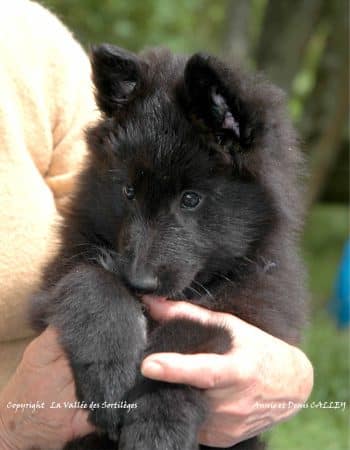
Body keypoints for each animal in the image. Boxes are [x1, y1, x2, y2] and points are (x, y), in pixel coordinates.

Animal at [30, 43, 306, 450]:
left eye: (190, 199)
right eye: (128, 191)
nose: (139, 282)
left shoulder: (257, 316)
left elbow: (190, 332)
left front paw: (157, 427)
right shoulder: (57, 276)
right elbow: (90, 280)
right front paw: (109, 374)